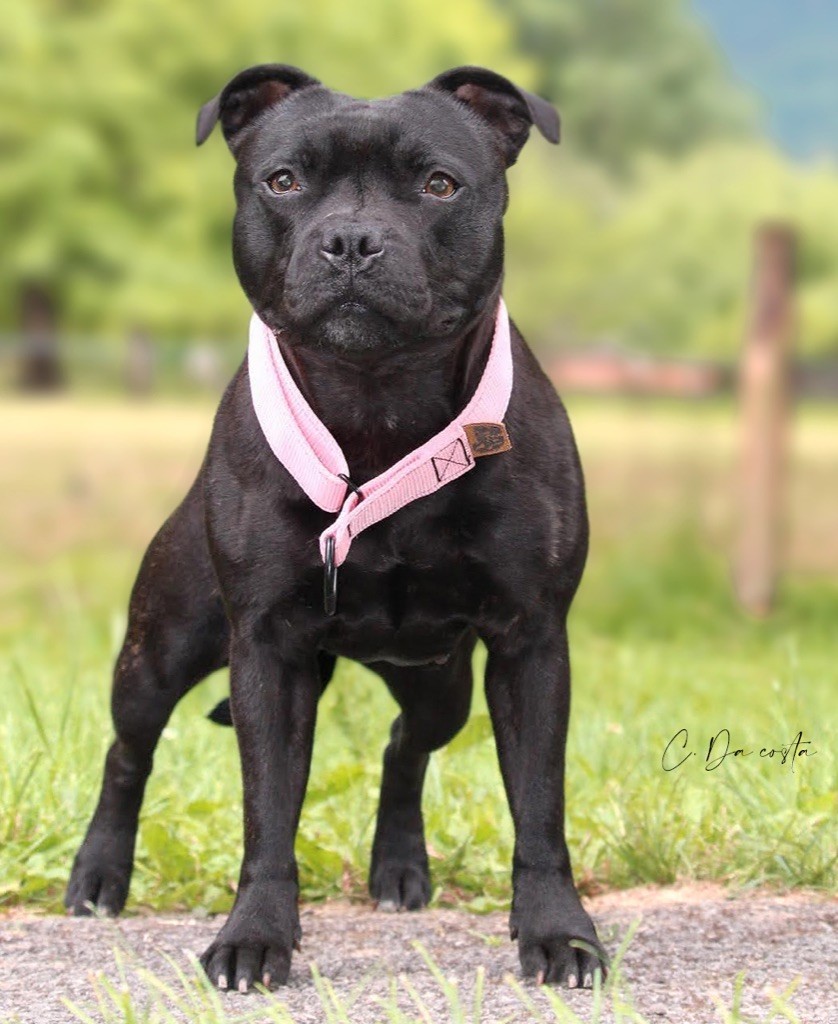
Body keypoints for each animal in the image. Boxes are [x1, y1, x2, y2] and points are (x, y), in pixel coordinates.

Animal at [65, 63, 607, 991]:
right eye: (283, 181)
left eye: (439, 184)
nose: (351, 240)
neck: (375, 402)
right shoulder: (266, 650)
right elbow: (267, 812)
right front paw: (253, 937)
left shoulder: (531, 641)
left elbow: (539, 806)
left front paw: (557, 933)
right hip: (161, 648)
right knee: (127, 750)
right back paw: (100, 874)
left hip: (441, 684)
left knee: (403, 744)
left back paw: (399, 867)